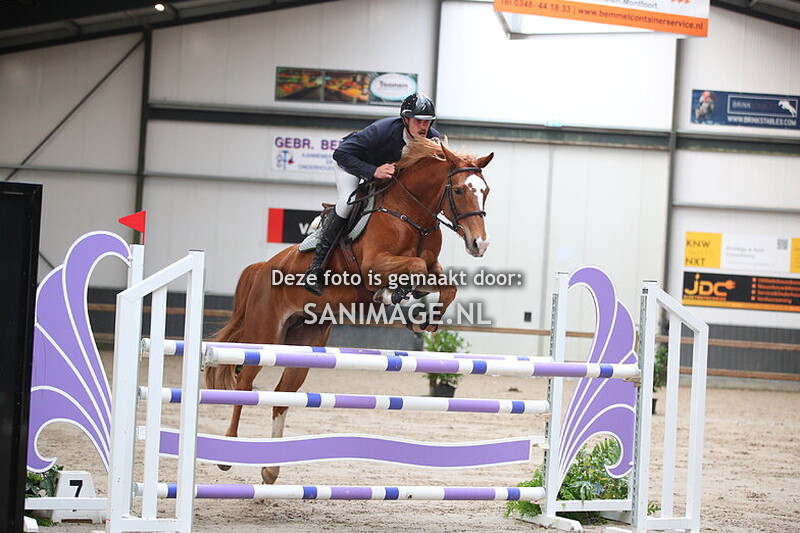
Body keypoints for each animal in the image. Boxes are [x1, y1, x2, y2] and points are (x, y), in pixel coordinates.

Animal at [204, 137, 494, 484]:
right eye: (460, 190)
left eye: (485, 190)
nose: (480, 244)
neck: (411, 214)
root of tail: (263, 266)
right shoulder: (373, 266)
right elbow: (414, 265)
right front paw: (392, 294)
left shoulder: (432, 269)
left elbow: (444, 284)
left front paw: (426, 320)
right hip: (265, 336)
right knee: (245, 385)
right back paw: (227, 455)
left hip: (305, 343)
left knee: (282, 397)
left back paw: (271, 470)